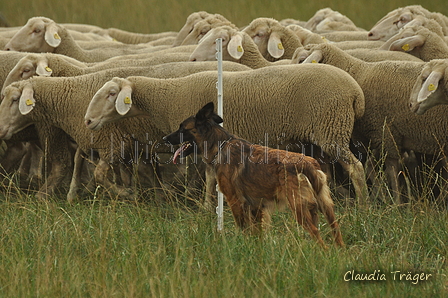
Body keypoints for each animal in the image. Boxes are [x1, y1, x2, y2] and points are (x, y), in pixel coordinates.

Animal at [83, 64, 368, 204]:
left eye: (111, 94)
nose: (88, 121)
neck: (166, 97)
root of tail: (356, 93)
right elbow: (210, 179)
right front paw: (207, 208)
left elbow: (207, 179)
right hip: (322, 136)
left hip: (332, 129)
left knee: (356, 168)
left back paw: (363, 206)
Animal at [163, 102, 344, 247]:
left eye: (182, 128)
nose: (164, 138)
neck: (221, 146)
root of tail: (307, 163)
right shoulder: (256, 207)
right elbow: (256, 234)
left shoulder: (235, 201)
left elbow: (243, 229)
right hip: (325, 206)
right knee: (336, 231)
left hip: (299, 208)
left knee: (317, 235)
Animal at [292, 42, 448, 203]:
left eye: (301, 60)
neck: (356, 74)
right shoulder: (373, 136)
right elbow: (370, 166)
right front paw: (381, 195)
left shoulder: (384, 132)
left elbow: (390, 169)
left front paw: (395, 200)